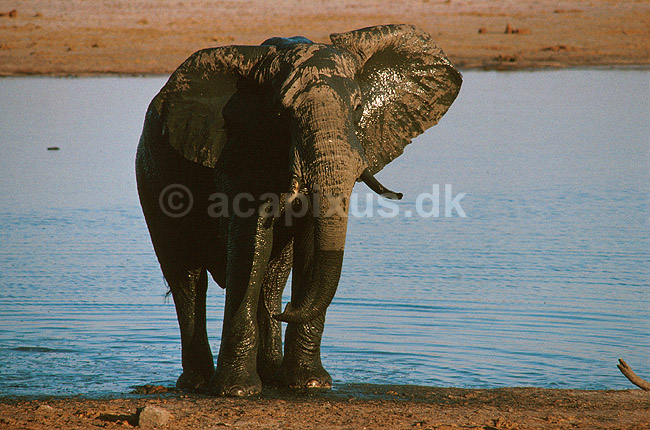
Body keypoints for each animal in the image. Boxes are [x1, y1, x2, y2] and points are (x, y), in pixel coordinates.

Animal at [136, 24, 462, 397]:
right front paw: (237, 391)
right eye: (282, 114)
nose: (291, 310)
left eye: (358, 108)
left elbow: (307, 245)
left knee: (272, 280)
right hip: (152, 178)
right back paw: (197, 383)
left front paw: (310, 384)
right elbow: (249, 242)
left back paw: (271, 371)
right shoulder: (238, 147)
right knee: (187, 277)